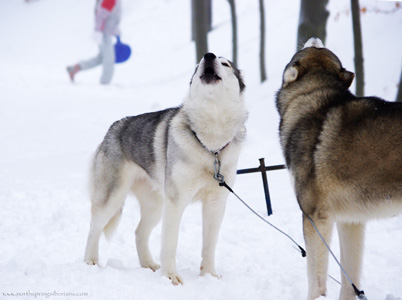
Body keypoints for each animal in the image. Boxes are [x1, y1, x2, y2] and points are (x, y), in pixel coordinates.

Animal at [83, 52, 247, 284]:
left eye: (225, 63)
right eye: (198, 65)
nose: (208, 55)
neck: (211, 146)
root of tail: (113, 128)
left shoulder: (215, 204)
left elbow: (209, 246)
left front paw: (209, 275)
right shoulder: (176, 202)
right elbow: (170, 243)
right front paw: (170, 277)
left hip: (156, 206)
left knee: (139, 233)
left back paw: (149, 265)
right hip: (112, 198)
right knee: (93, 229)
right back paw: (90, 262)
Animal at [276, 38, 402, 300]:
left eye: (312, 49)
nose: (315, 38)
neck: (313, 95)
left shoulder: (315, 218)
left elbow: (315, 283)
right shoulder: (351, 221)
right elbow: (349, 283)